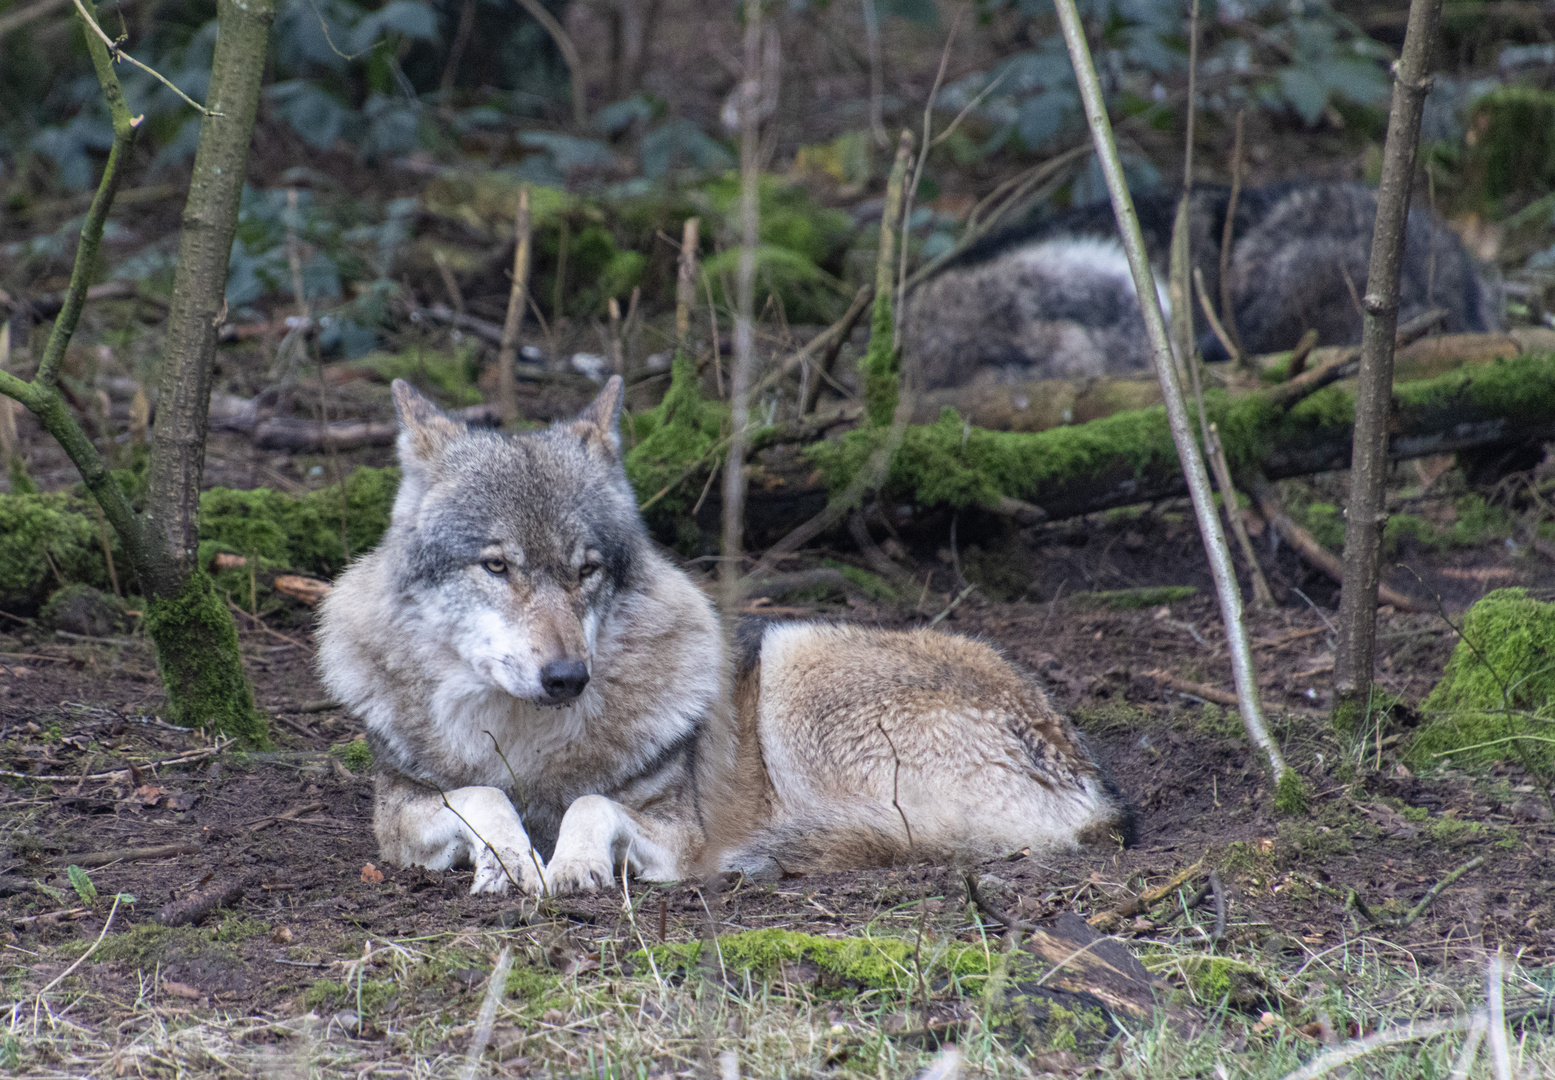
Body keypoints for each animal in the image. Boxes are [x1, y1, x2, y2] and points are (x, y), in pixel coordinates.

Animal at [315, 380, 1125, 895]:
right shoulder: (398, 817)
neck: (525, 742)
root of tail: (1097, 786)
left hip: (794, 662)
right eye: (496, 565)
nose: (568, 677)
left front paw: (572, 864)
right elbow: (481, 796)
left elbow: (592, 806)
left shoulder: (678, 831)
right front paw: (508, 860)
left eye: (587, 570)